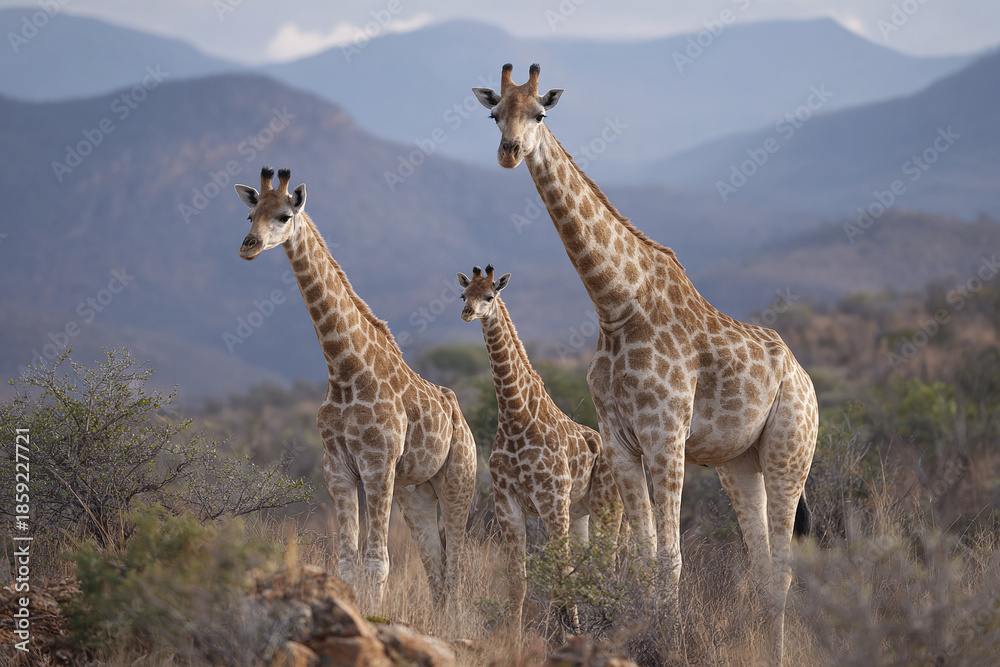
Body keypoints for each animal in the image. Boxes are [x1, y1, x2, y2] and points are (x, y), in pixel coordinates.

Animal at [234, 167, 477, 608]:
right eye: (249, 215)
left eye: (283, 215)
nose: (249, 246)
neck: (344, 367)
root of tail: (459, 416)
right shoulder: (338, 469)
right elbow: (347, 561)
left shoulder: (378, 465)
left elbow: (377, 562)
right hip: (415, 491)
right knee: (435, 566)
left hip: (458, 481)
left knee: (456, 565)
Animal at [458, 264, 623, 637]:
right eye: (463, 295)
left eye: (489, 295)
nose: (467, 313)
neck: (516, 416)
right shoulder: (506, 502)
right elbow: (517, 579)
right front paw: (514, 638)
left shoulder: (551, 500)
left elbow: (560, 573)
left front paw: (566, 632)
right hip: (579, 512)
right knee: (587, 566)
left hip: (608, 507)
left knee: (606, 567)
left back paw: (605, 625)